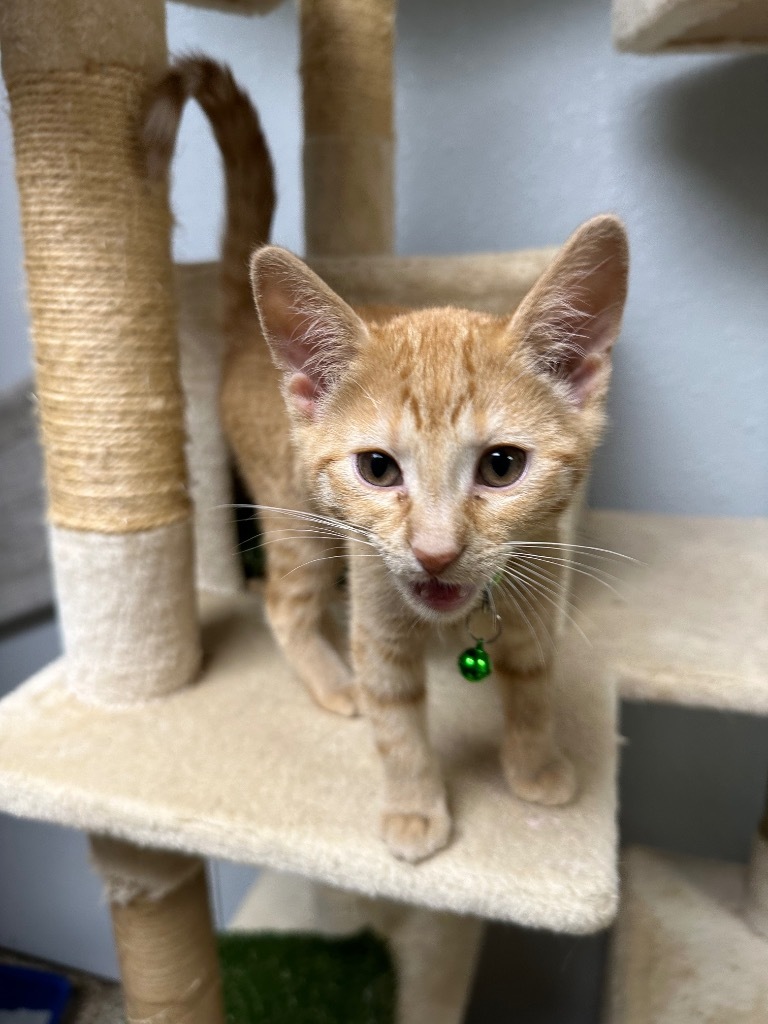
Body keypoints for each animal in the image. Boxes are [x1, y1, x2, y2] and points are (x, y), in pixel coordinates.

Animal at [145, 54, 630, 856]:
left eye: (502, 467)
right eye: (378, 468)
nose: (435, 552)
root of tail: (248, 337)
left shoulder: (538, 593)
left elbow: (532, 689)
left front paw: (535, 766)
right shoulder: (377, 623)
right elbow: (396, 722)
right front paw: (414, 808)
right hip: (298, 520)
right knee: (283, 601)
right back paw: (329, 680)